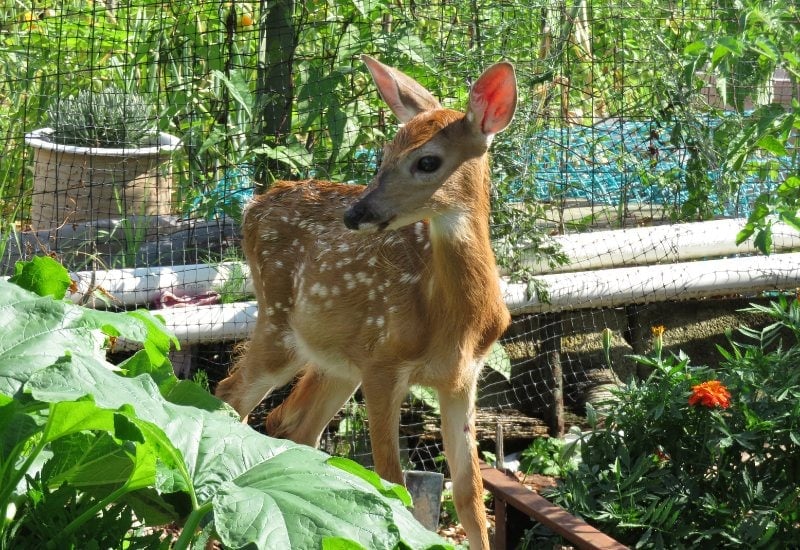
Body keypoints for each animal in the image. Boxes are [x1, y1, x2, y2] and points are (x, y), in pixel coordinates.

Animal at [215, 54, 517, 548]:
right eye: (384, 154)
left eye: (427, 160)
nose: (355, 214)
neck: (453, 319)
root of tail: (254, 203)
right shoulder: (383, 366)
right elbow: (393, 485)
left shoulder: (461, 379)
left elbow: (470, 496)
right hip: (278, 322)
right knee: (231, 397)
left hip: (337, 361)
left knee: (292, 427)